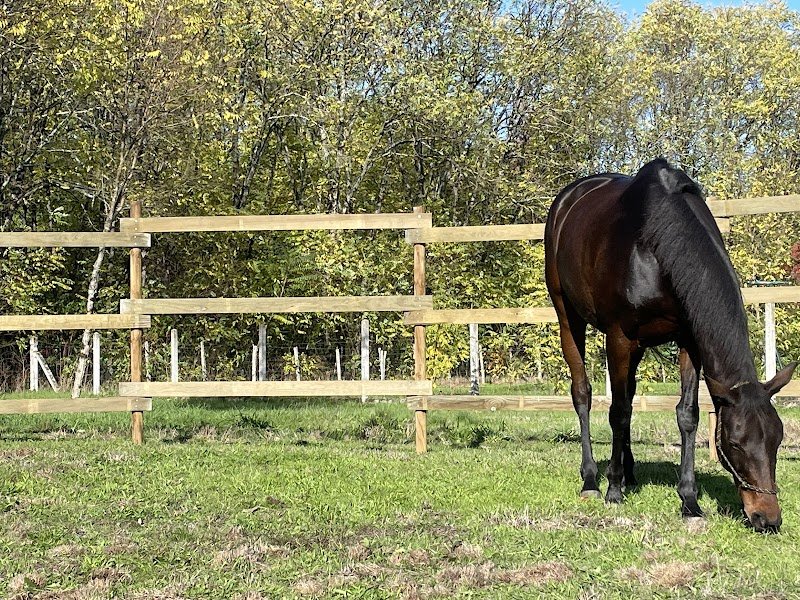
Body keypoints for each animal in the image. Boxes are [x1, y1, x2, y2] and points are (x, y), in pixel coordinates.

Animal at [544, 158, 796, 532]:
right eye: (734, 443)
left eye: (778, 440)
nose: (767, 518)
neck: (656, 248)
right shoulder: (619, 337)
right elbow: (618, 411)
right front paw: (613, 489)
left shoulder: (689, 340)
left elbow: (687, 415)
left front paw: (689, 500)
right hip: (568, 317)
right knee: (584, 394)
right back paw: (592, 479)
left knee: (630, 394)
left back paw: (630, 472)